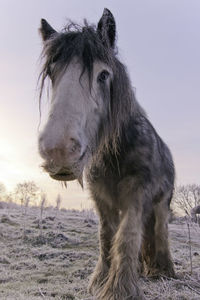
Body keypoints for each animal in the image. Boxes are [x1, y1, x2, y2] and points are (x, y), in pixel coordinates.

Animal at [37, 7, 175, 300]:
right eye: (52, 74)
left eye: (103, 75)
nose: (58, 150)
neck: (116, 154)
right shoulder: (102, 199)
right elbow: (107, 236)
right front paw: (100, 280)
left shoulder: (137, 193)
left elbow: (127, 236)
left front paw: (120, 289)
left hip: (161, 203)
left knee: (160, 231)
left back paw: (163, 270)